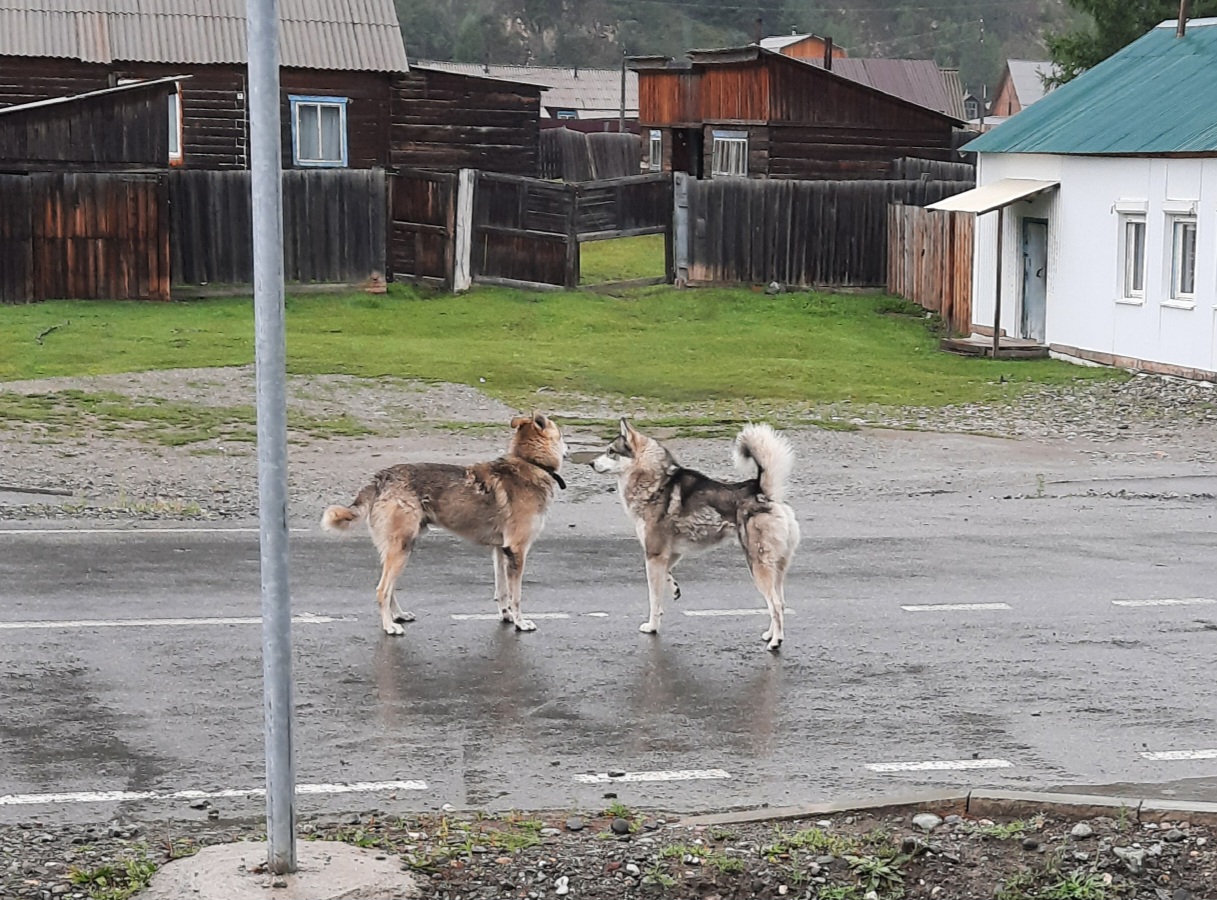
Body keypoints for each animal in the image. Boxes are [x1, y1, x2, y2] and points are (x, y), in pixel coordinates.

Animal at [323, 413, 569, 632]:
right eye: (561, 434)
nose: (568, 449)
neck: (531, 463)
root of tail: (381, 478)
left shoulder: (501, 550)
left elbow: (502, 592)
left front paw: (506, 616)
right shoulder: (517, 551)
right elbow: (516, 595)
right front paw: (520, 623)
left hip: (396, 549)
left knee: (389, 589)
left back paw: (399, 615)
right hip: (402, 549)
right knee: (382, 590)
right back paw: (389, 626)